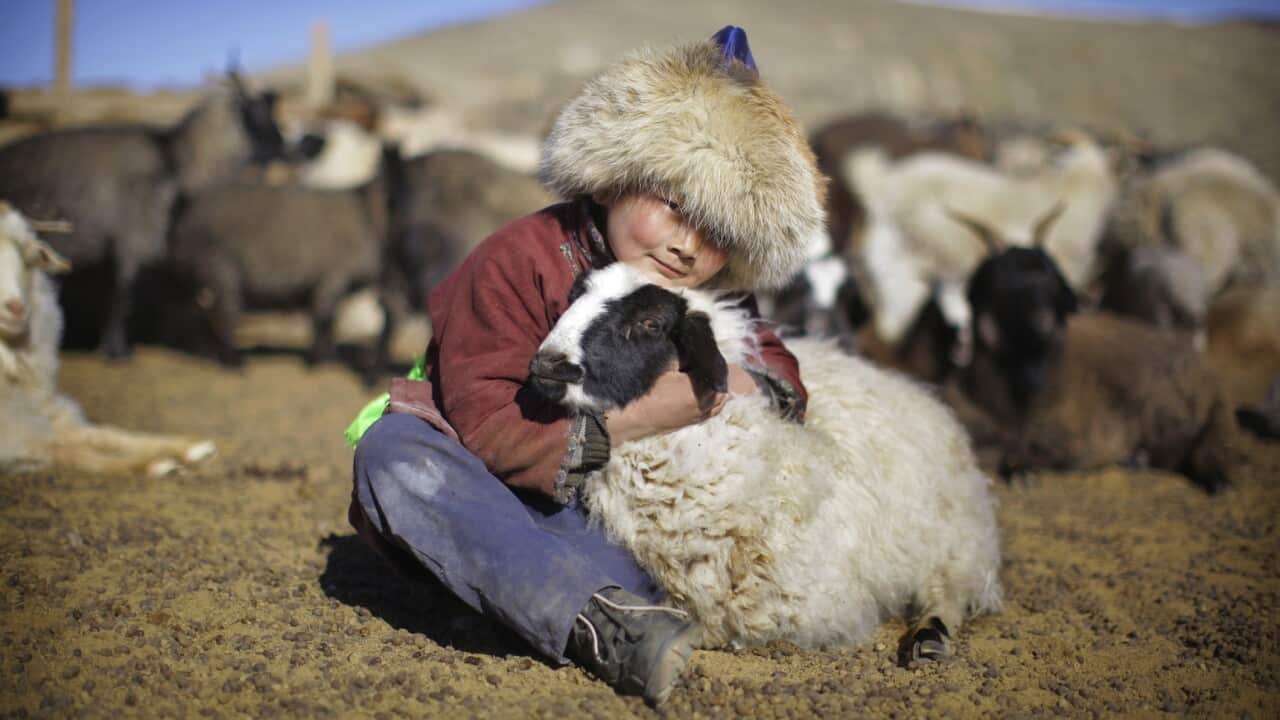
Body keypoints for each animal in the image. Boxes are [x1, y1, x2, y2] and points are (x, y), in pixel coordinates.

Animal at [0, 72, 285, 358]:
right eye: (259, 113)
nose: (283, 144)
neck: (174, 157)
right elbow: (123, 295)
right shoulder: (136, 236)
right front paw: (116, 352)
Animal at [0, 202, 215, 477]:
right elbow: (70, 453)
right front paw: (155, 464)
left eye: (29, 257)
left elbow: (108, 433)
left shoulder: (47, 413)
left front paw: (188, 447)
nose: (16, 308)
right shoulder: (15, 438)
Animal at [167, 144, 407, 383]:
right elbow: (323, 319)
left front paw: (328, 358)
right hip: (218, 270)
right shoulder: (333, 277)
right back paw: (235, 363)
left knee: (193, 314)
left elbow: (329, 322)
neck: (366, 213)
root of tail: (184, 219)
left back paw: (207, 353)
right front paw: (316, 362)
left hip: (194, 277)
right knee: (225, 316)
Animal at [527, 263, 1002, 660]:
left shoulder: (799, 604)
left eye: (650, 323)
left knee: (949, 588)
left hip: (954, 537)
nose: (548, 365)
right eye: (575, 294)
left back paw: (930, 637)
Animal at [945, 213, 1238, 492]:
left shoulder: (1078, 442)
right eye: (1002, 277)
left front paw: (1021, 471)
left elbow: (1032, 454)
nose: (1048, 321)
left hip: (1180, 414)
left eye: (1053, 276)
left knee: (1201, 446)